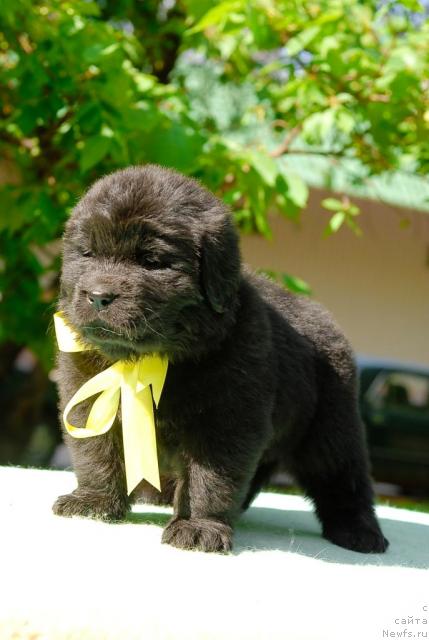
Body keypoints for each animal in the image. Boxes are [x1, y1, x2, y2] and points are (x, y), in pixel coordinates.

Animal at [52, 165, 388, 556]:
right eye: (87, 253)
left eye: (151, 261)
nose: (98, 296)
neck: (154, 358)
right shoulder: (88, 398)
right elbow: (96, 455)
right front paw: (93, 504)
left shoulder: (227, 419)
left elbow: (210, 479)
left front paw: (198, 527)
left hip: (330, 427)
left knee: (344, 477)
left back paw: (359, 531)